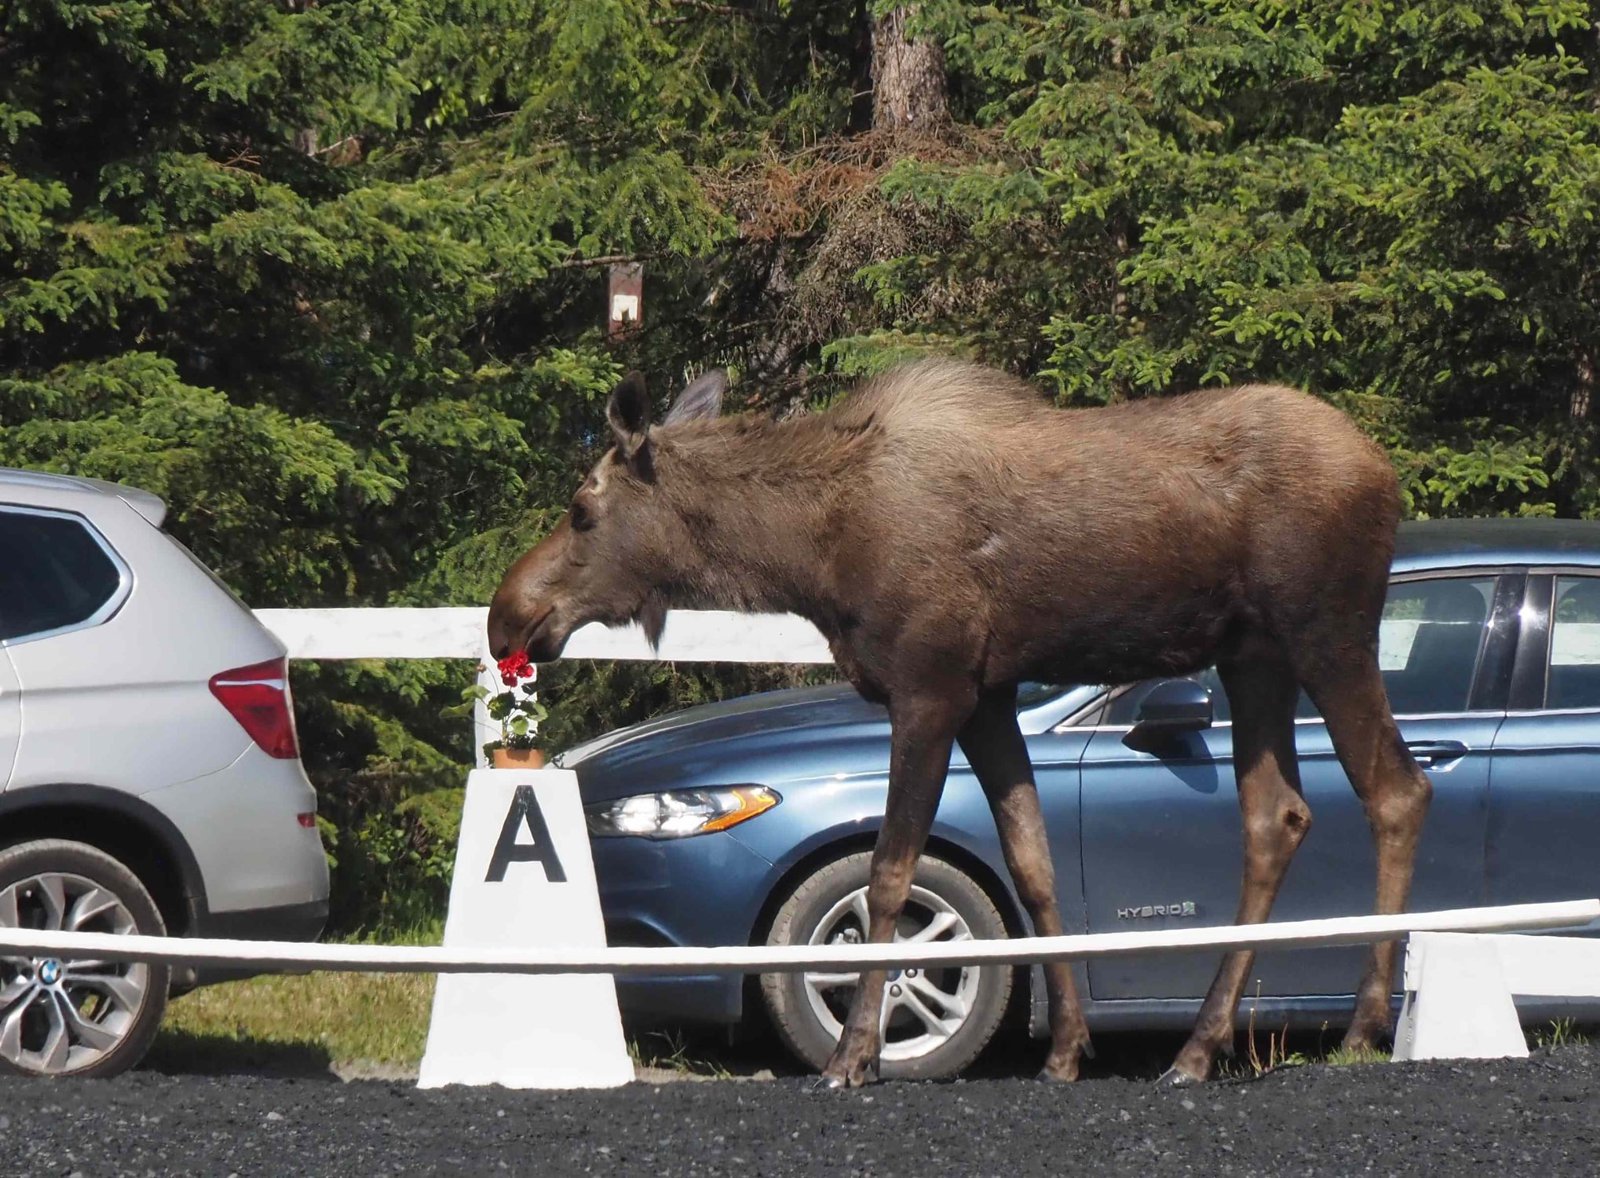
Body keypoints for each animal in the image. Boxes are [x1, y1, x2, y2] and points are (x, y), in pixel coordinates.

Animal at [483, 361, 1427, 1088]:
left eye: (582, 510)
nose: (506, 616)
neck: (812, 556)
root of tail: (1386, 473)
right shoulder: (991, 693)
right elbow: (1033, 864)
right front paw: (1066, 1051)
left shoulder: (929, 687)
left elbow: (890, 875)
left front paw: (854, 1056)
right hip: (1252, 658)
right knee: (1277, 816)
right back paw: (1198, 1048)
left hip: (1327, 632)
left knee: (1395, 791)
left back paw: (1363, 1027)